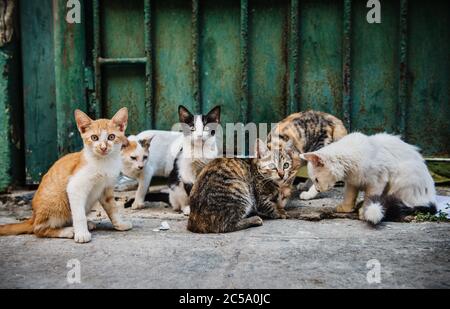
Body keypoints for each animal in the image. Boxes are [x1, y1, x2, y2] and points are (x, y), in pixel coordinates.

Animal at [0, 108, 132, 243]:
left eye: (111, 137)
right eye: (94, 137)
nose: (103, 147)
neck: (104, 162)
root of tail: (33, 217)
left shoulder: (106, 188)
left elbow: (112, 208)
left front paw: (120, 224)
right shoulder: (75, 187)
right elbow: (79, 214)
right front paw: (81, 234)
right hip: (56, 202)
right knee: (39, 230)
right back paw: (68, 231)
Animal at [302, 132, 436, 224]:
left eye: (316, 180)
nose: (318, 189)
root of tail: (430, 197)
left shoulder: (378, 181)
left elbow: (369, 196)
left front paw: (364, 211)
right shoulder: (352, 182)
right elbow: (349, 196)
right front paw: (346, 208)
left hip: (403, 175)